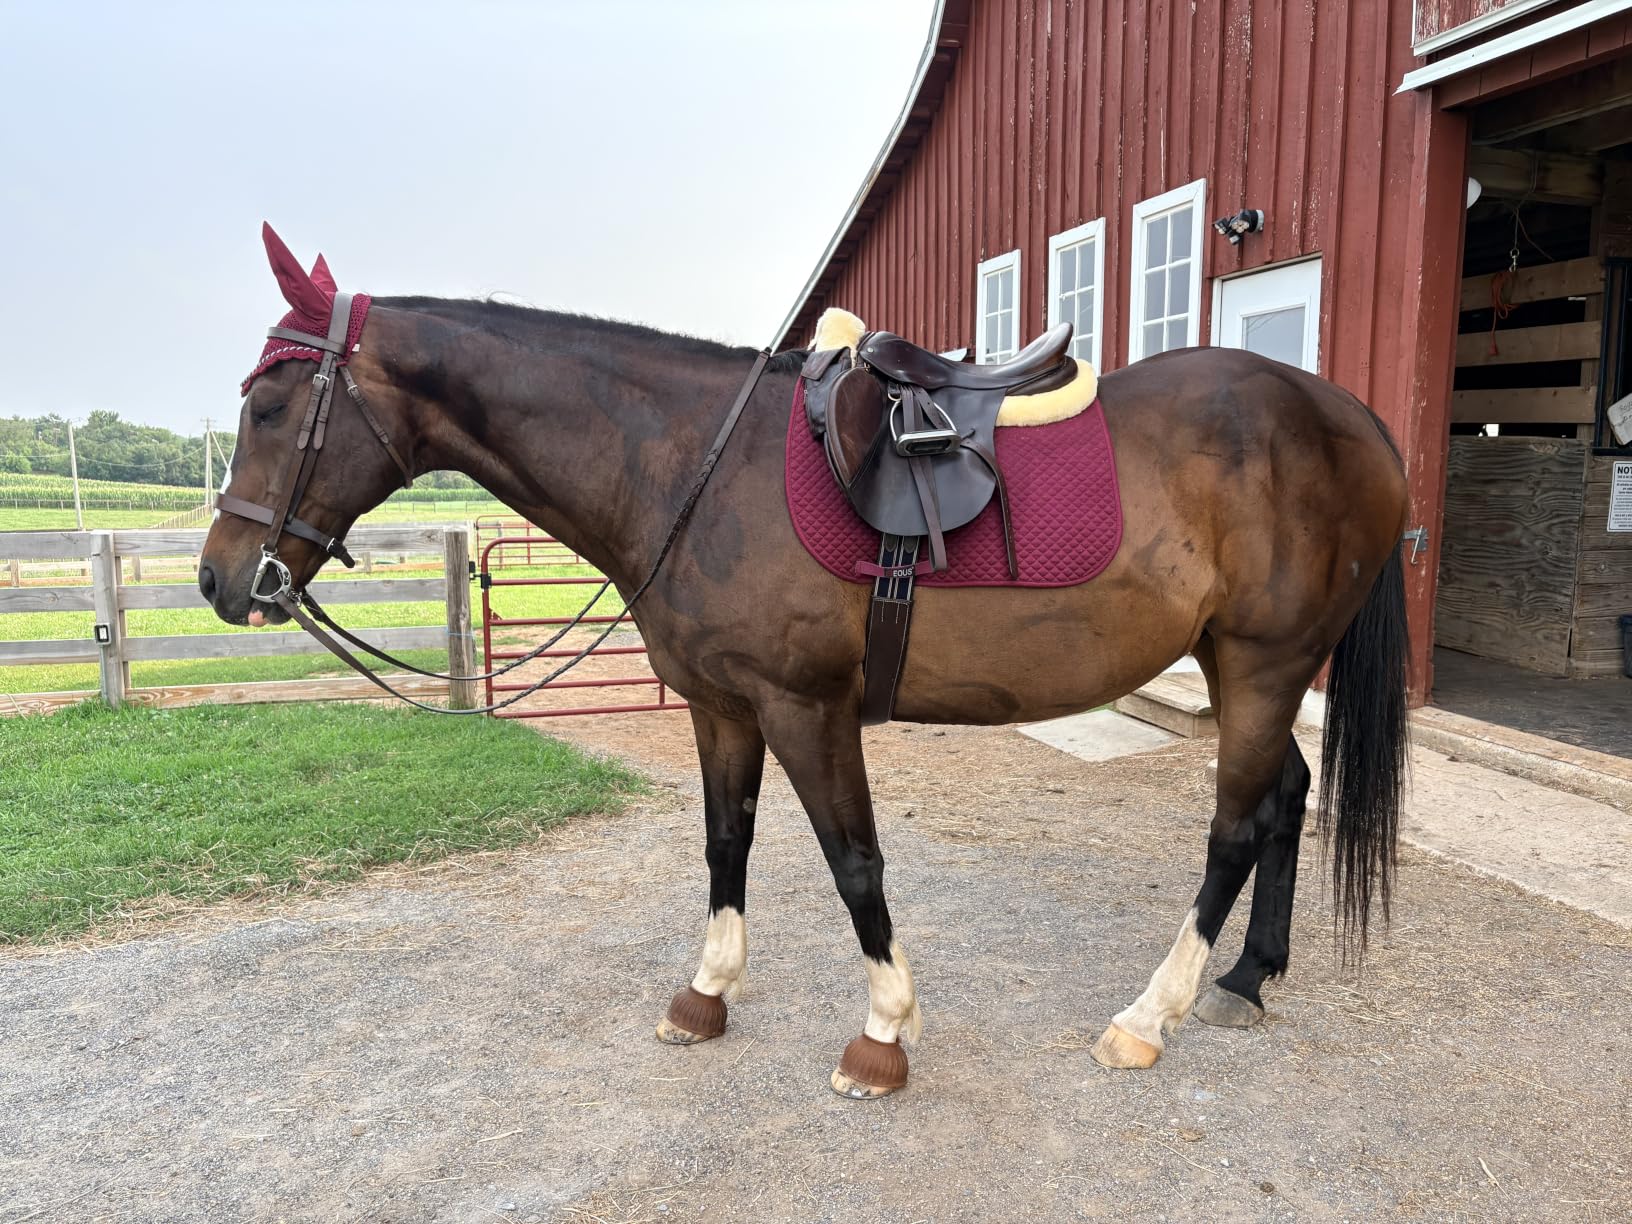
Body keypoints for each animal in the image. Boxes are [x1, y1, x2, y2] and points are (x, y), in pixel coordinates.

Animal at [200, 229, 1409, 1098]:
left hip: (1263, 664)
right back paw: (1247, 979)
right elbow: (724, 845)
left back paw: (1148, 1018)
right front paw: (706, 995)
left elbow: (854, 863)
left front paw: (883, 1034)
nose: (220, 580)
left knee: (1236, 826)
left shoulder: (804, 708)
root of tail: (1347, 417)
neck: (691, 465)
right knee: (1286, 799)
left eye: (269, 404)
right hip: (1247, 669)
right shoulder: (722, 707)